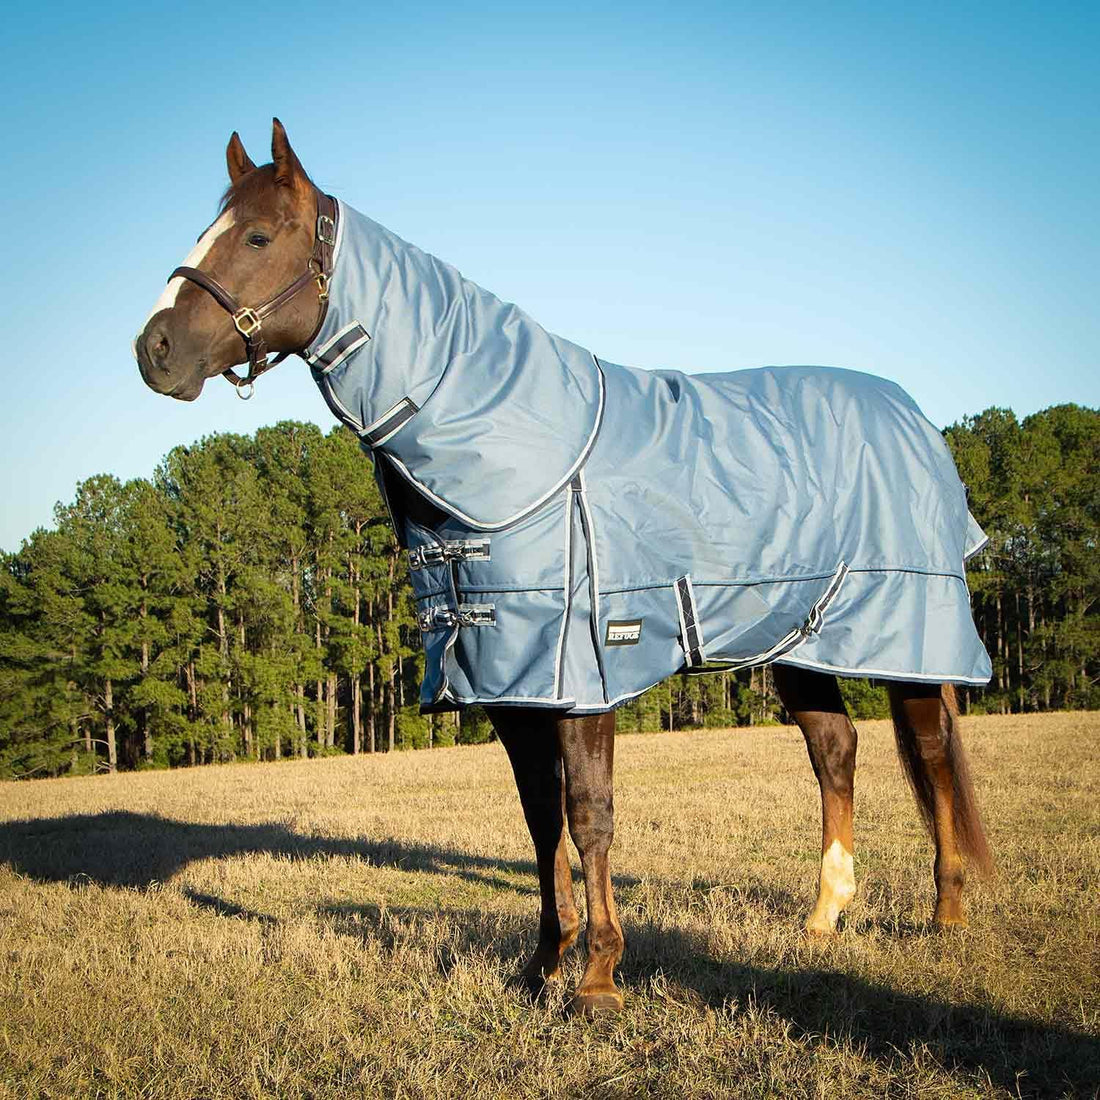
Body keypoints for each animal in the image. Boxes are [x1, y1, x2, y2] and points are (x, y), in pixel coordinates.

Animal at [135, 119, 993, 1017]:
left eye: (259, 236)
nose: (154, 350)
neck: (517, 447)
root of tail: (914, 418)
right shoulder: (510, 682)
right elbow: (539, 817)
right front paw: (543, 963)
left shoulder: (582, 669)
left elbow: (589, 814)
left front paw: (598, 978)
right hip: (796, 639)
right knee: (835, 750)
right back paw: (824, 918)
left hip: (907, 634)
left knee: (931, 755)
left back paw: (947, 915)